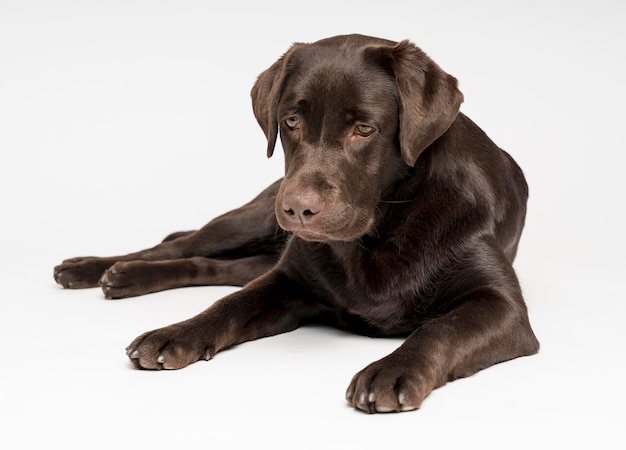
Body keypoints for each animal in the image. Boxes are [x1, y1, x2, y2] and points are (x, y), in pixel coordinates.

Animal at [53, 34, 536, 414]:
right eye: (291, 121)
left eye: (364, 128)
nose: (298, 208)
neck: (381, 230)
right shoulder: (288, 280)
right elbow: (229, 305)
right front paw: (176, 333)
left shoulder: (502, 307)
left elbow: (440, 328)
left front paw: (391, 370)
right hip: (251, 219)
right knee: (180, 244)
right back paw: (101, 270)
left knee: (213, 266)